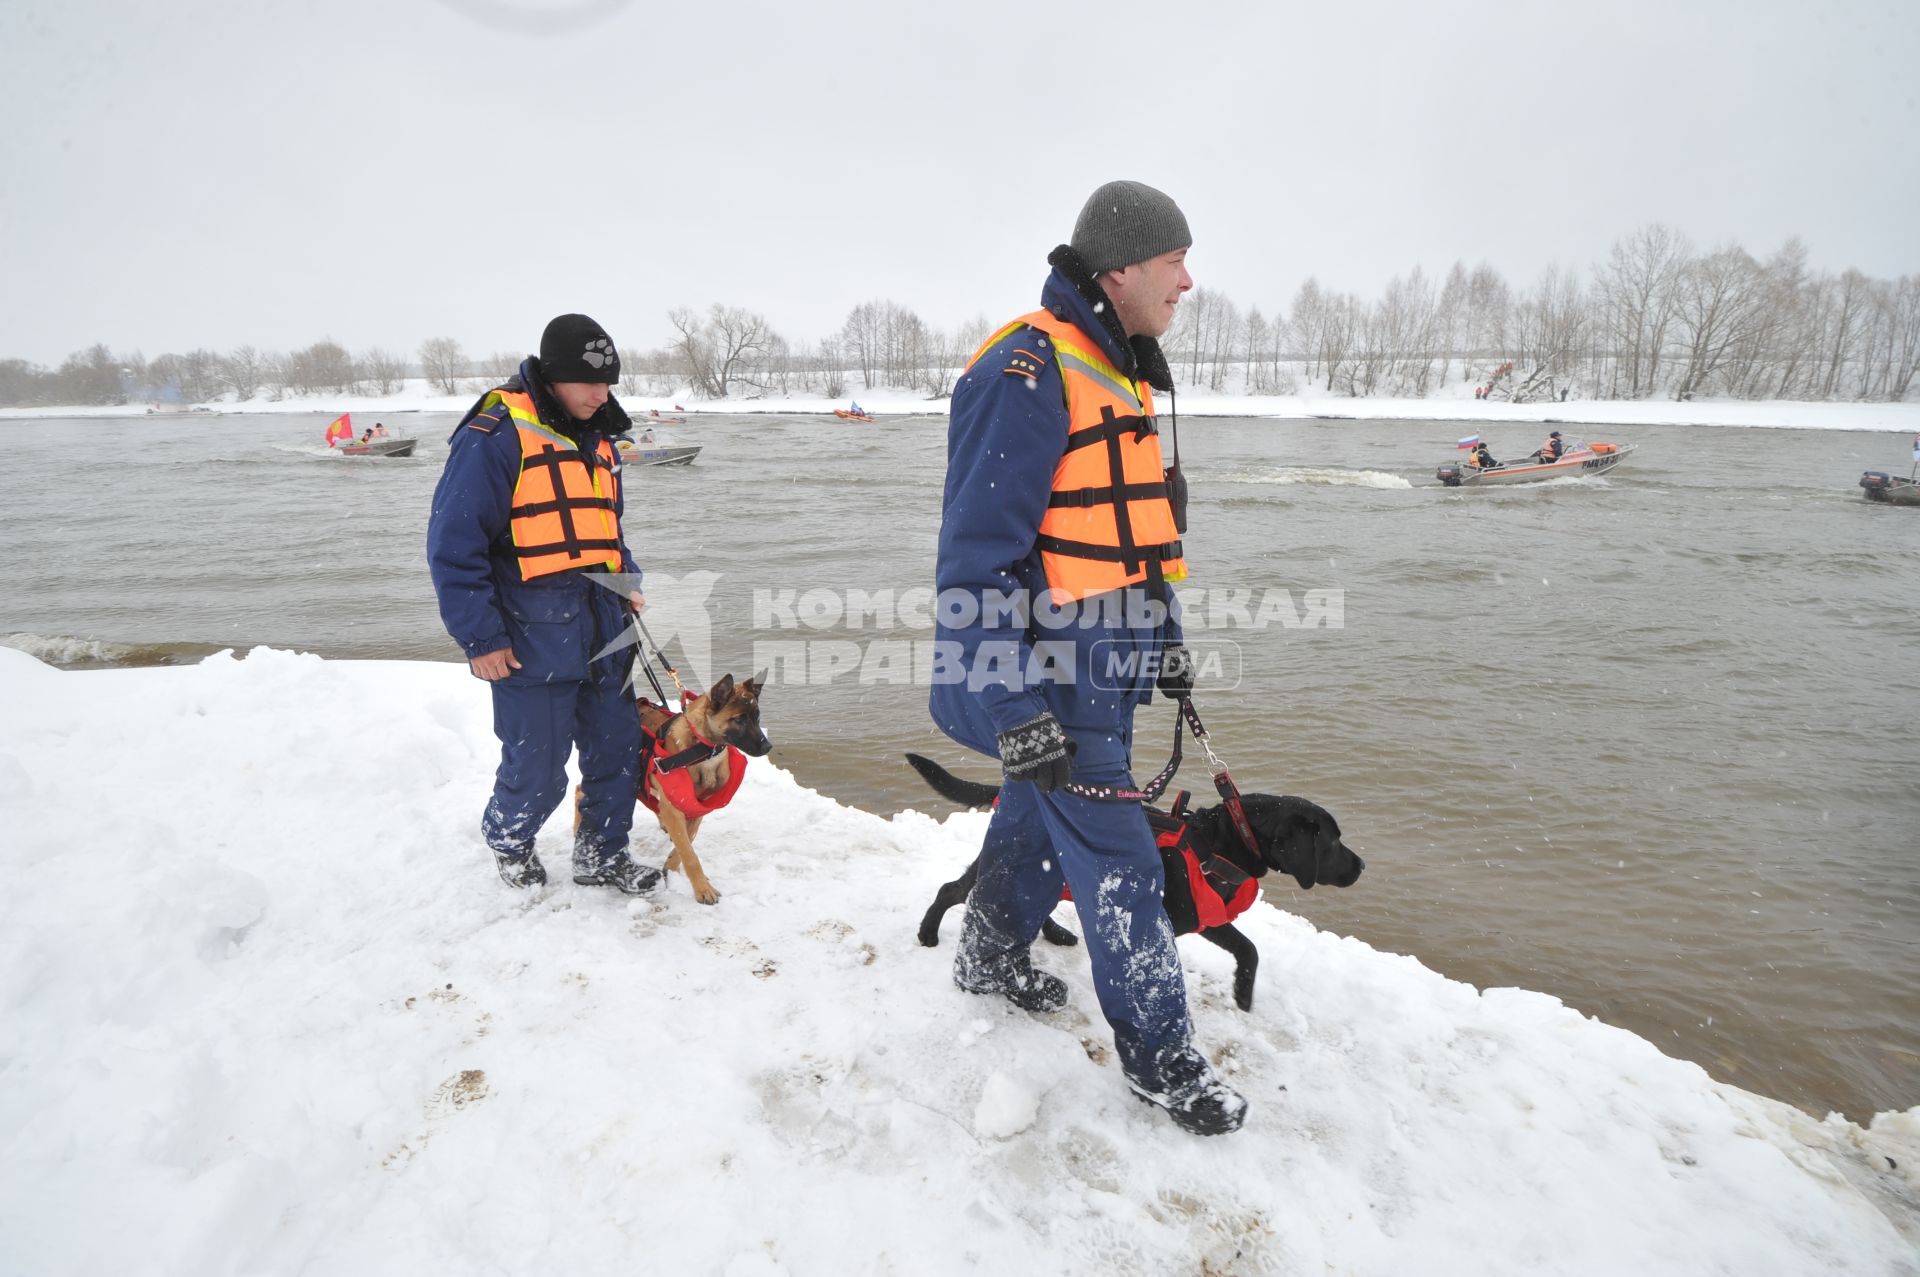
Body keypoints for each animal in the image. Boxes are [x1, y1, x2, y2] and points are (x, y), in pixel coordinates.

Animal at [906, 752, 1359, 1013]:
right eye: (1333, 842)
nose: (1361, 866)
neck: (1222, 840)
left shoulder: (1204, 917)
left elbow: (1248, 949)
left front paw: (1242, 995)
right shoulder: (1179, 918)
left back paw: (1057, 934)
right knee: (952, 890)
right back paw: (928, 933)